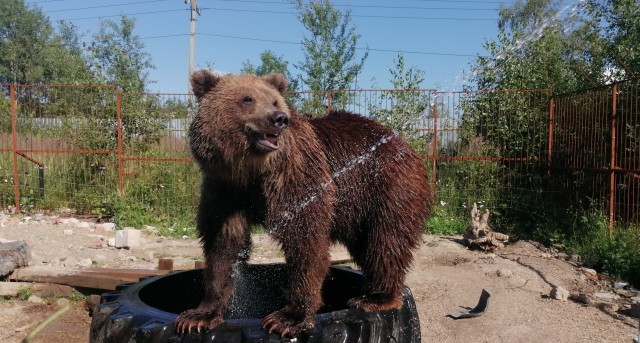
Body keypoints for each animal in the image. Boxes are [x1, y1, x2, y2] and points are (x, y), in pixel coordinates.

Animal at [176, 70, 430, 338]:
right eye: (247, 99)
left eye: (275, 101)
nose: (279, 118)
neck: (250, 171)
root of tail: (406, 146)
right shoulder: (224, 189)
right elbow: (222, 244)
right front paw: (199, 315)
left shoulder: (296, 177)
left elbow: (305, 238)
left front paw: (289, 317)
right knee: (368, 245)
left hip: (387, 188)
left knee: (386, 241)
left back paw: (375, 297)